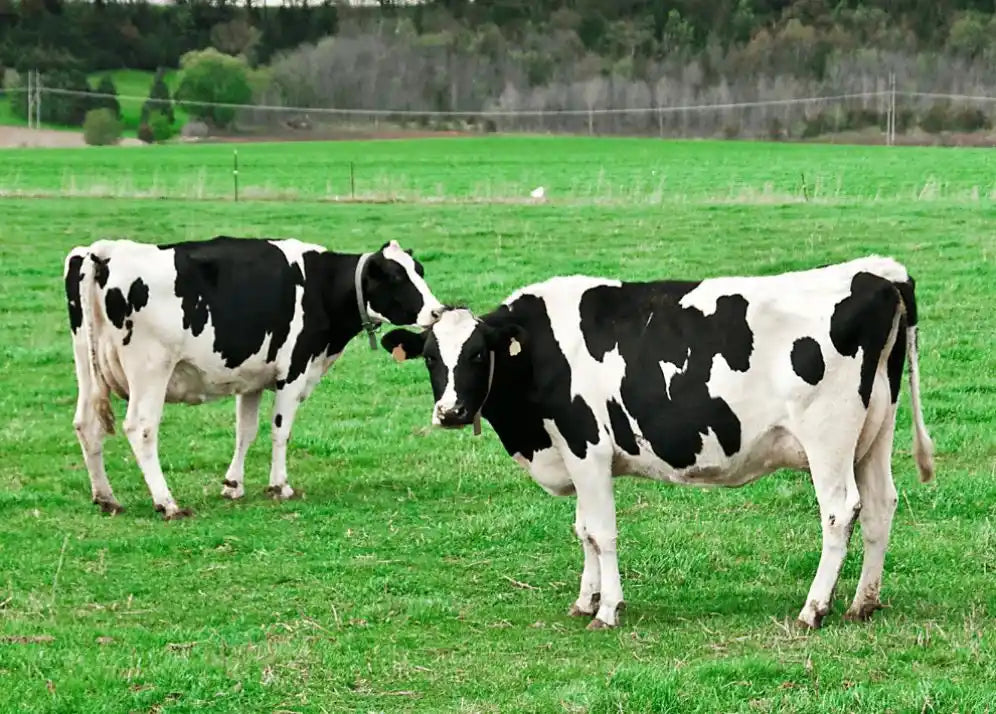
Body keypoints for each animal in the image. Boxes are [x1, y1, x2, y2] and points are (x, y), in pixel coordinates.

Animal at [64, 236, 444, 520]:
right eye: (396, 278)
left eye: (419, 271)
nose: (438, 311)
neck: (321, 286)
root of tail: (105, 250)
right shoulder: (294, 370)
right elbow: (280, 430)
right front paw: (280, 486)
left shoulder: (251, 377)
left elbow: (244, 431)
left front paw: (233, 485)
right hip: (151, 368)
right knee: (140, 428)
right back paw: (167, 503)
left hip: (86, 364)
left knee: (86, 424)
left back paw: (107, 498)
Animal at [381, 256, 935, 630]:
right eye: (430, 357)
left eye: (478, 355)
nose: (450, 412)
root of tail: (878, 272)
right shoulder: (575, 454)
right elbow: (583, 530)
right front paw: (585, 600)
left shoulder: (587, 447)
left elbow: (602, 533)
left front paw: (607, 609)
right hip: (874, 434)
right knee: (881, 505)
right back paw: (863, 602)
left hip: (828, 437)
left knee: (841, 512)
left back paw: (813, 609)